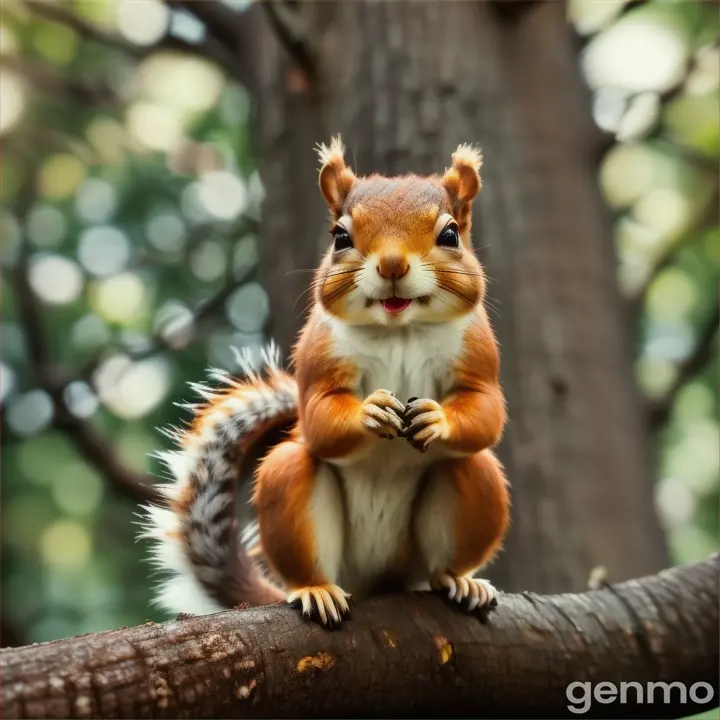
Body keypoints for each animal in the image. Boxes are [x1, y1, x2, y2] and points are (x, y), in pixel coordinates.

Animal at [141, 138, 510, 628]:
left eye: (450, 235)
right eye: (340, 237)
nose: (392, 264)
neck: (399, 328)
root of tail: (372, 583)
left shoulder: (478, 352)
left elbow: (486, 408)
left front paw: (438, 418)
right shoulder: (318, 353)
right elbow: (318, 415)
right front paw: (370, 412)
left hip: (463, 496)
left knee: (464, 488)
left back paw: (459, 580)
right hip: (291, 491)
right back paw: (316, 590)